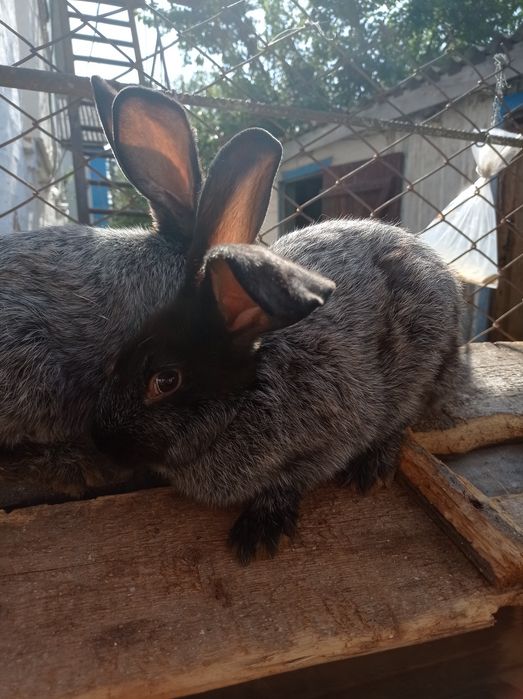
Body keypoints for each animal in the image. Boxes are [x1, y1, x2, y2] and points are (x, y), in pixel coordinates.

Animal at [92, 110, 465, 564]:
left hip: (422, 364)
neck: (244, 398)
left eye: (165, 380)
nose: (100, 442)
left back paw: (371, 467)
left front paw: (258, 532)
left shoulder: (331, 436)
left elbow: (294, 478)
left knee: (405, 416)